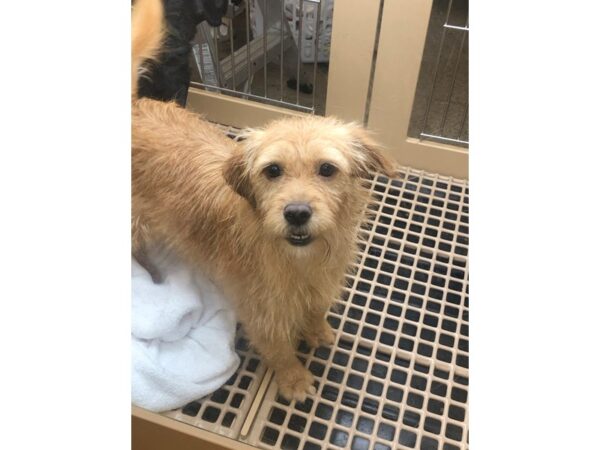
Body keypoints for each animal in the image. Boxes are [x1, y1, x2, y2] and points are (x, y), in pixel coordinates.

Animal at [131, 0, 394, 400]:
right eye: (272, 171)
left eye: (327, 169)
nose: (297, 213)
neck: (300, 261)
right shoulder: (263, 312)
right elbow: (280, 349)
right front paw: (294, 380)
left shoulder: (322, 283)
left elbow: (315, 310)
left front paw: (317, 331)